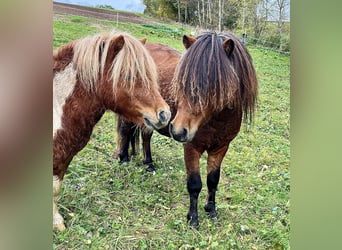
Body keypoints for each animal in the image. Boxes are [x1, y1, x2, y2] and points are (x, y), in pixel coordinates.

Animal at [116, 32, 258, 229]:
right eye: (182, 82)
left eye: (214, 85)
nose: (177, 130)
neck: (217, 120)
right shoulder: (192, 147)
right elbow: (195, 184)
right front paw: (193, 218)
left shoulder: (221, 148)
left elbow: (213, 179)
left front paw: (211, 210)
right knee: (125, 130)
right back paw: (123, 159)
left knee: (145, 136)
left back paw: (149, 163)